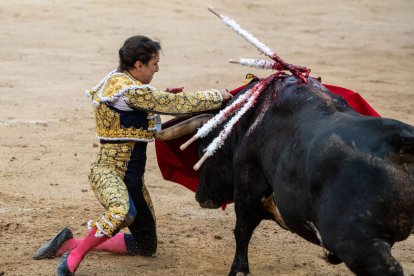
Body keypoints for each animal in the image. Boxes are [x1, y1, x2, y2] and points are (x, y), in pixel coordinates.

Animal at [195, 76, 414, 276]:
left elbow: (242, 231)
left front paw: (239, 271)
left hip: (356, 243)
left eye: (202, 149)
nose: (198, 196)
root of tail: (400, 141)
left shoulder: (247, 186)